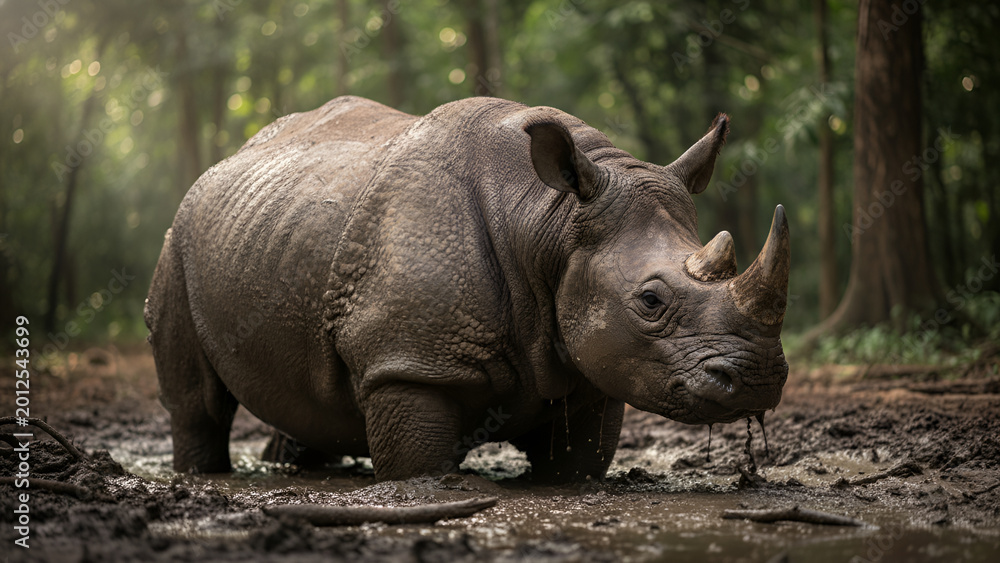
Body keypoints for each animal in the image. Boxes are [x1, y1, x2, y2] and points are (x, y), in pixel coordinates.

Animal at [145, 96, 790, 482]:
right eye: (650, 301)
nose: (758, 378)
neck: (550, 221)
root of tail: (233, 156)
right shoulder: (407, 360)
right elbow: (418, 464)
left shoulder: (596, 367)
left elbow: (577, 466)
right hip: (178, 236)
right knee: (197, 402)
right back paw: (203, 473)